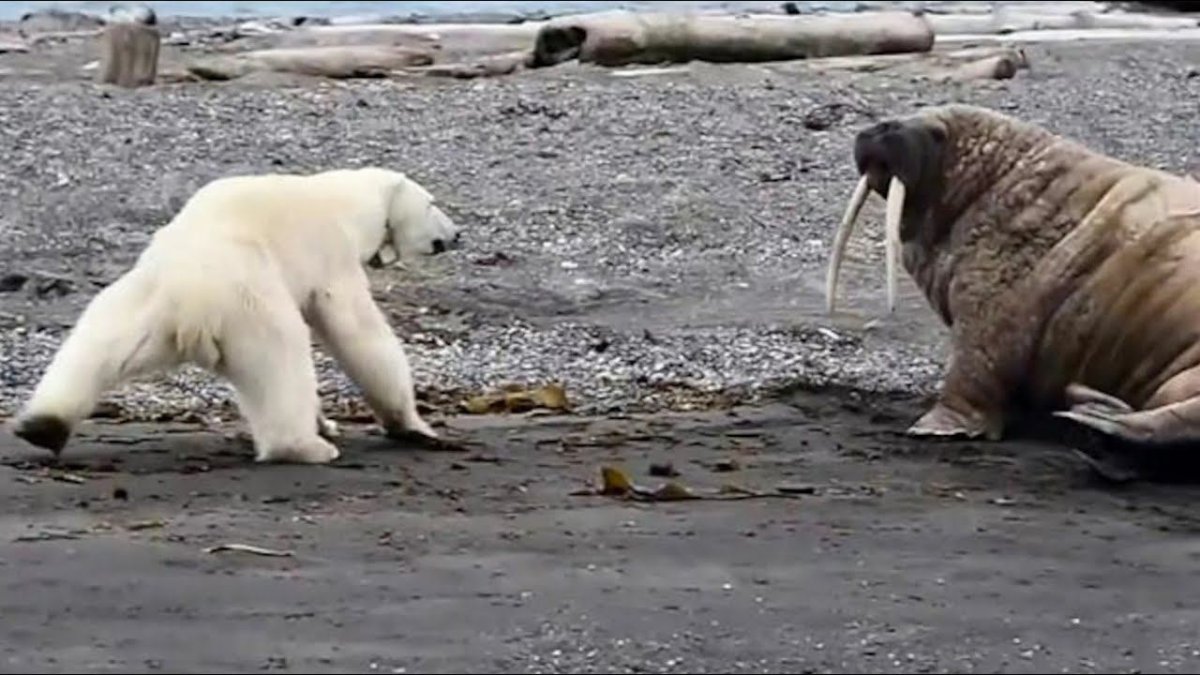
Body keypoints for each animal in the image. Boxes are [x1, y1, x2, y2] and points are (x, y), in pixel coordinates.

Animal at [7, 166, 462, 464]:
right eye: (433, 203)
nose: (457, 234)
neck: (342, 202)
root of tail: (188, 305)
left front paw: (328, 422)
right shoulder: (328, 253)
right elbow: (359, 332)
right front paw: (413, 426)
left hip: (138, 304)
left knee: (94, 349)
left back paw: (42, 426)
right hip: (250, 306)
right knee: (283, 360)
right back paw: (305, 447)